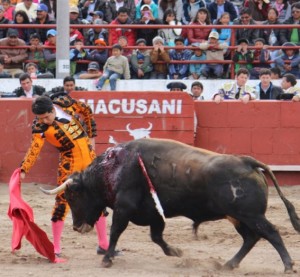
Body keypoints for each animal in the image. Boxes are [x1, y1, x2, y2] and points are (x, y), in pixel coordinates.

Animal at [41, 138, 300, 272]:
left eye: (73, 197)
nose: (77, 227)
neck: (113, 169)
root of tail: (248, 162)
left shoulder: (124, 209)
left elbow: (116, 231)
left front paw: (107, 259)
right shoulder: (155, 214)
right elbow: (157, 237)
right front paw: (176, 252)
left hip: (250, 214)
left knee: (271, 233)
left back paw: (288, 266)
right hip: (237, 216)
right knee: (251, 238)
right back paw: (229, 264)